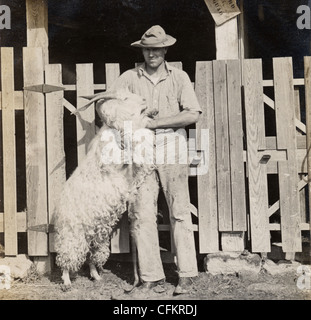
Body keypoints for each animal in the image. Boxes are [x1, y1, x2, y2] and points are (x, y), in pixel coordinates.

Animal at [54, 90, 156, 288]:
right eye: (125, 98)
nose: (144, 100)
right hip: (73, 233)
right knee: (67, 255)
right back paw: (66, 281)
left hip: (98, 234)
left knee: (91, 255)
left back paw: (96, 276)